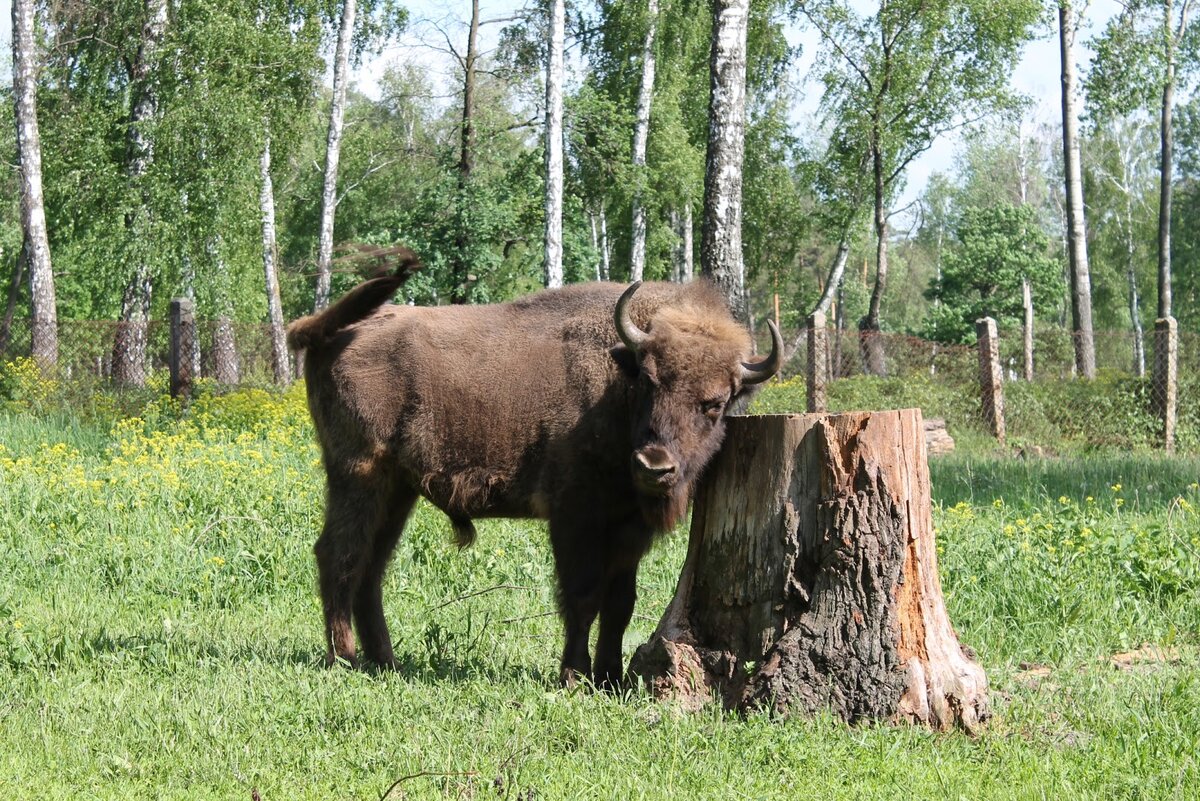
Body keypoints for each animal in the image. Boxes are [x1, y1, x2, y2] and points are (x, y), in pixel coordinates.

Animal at [285, 255, 782, 690]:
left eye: (715, 403)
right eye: (649, 381)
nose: (654, 466)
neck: (616, 382)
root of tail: (328, 332)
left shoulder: (628, 530)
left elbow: (619, 604)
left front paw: (611, 680)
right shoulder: (574, 519)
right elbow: (582, 597)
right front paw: (574, 676)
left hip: (396, 491)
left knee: (371, 567)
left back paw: (385, 662)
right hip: (359, 475)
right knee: (339, 555)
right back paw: (345, 659)